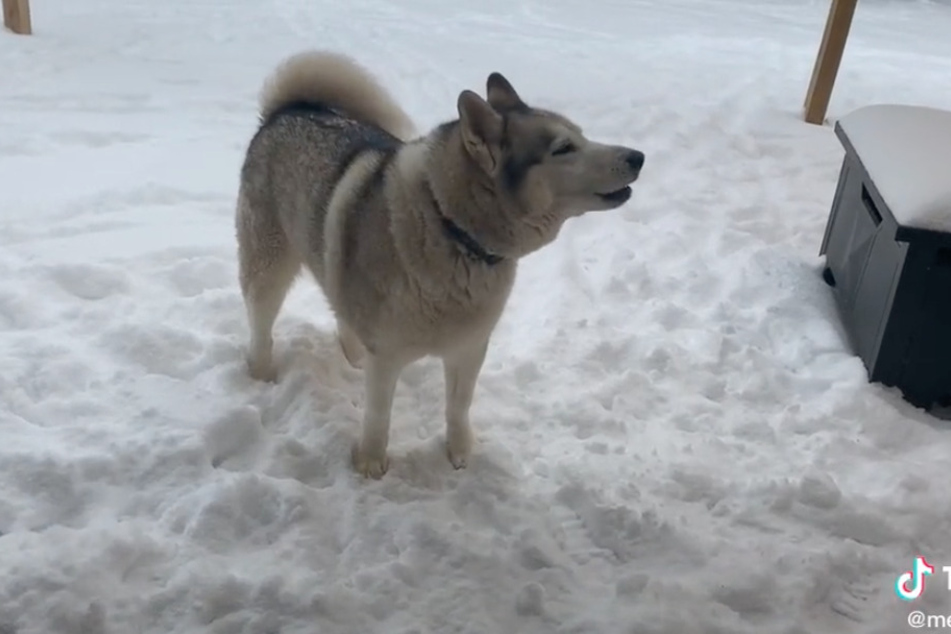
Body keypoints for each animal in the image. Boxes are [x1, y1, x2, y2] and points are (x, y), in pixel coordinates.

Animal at [234, 50, 644, 474]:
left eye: (582, 135)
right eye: (564, 148)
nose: (639, 157)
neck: (453, 231)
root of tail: (288, 109)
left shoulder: (470, 346)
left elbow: (459, 405)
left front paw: (460, 453)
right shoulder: (387, 354)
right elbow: (378, 415)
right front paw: (371, 463)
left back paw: (352, 358)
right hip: (268, 267)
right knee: (261, 324)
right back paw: (262, 374)